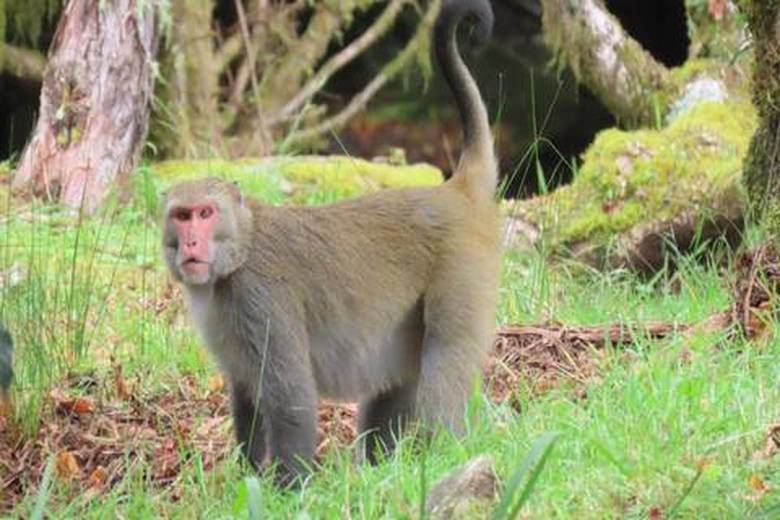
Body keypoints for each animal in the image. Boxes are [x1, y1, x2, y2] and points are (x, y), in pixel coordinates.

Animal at [162, 0, 499, 487]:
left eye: (206, 214)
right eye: (181, 215)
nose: (190, 241)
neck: (237, 255)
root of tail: (454, 193)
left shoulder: (260, 300)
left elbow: (291, 399)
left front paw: (287, 490)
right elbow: (247, 399)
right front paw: (246, 481)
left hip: (462, 269)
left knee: (444, 359)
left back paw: (439, 455)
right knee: (397, 378)